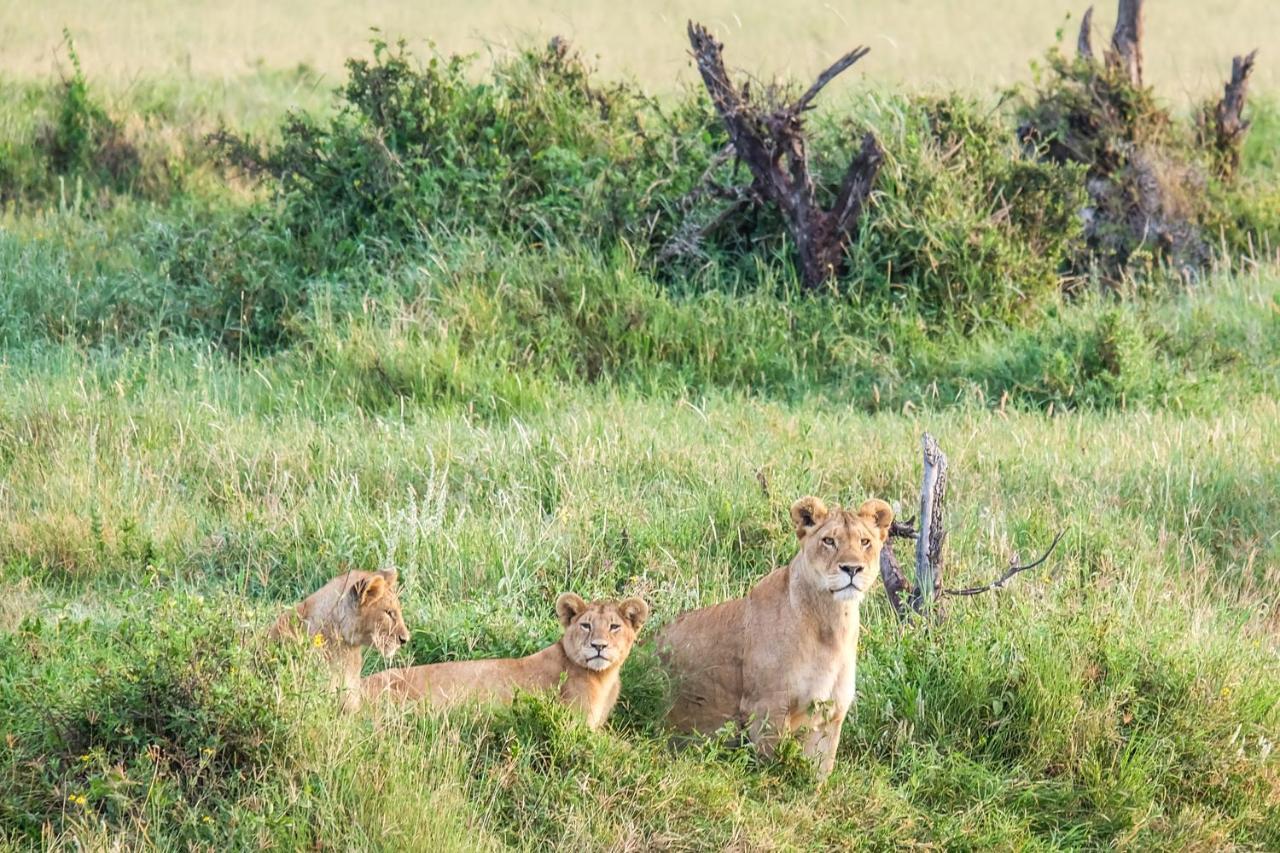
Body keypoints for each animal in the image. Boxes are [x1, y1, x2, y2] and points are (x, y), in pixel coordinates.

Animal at [655, 491, 896, 778]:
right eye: (829, 541)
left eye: (864, 542)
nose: (852, 569)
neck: (832, 626)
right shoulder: (766, 706)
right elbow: (772, 769)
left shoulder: (830, 714)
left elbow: (819, 776)